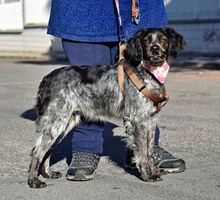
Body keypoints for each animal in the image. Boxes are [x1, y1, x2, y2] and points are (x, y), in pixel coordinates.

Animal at [27, 27, 186, 188]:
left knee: (47, 150)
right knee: (37, 151)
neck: (147, 73)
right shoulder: (139, 121)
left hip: (64, 123)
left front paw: (154, 172)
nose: (154, 49)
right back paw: (34, 181)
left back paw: (48, 173)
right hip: (56, 122)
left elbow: (150, 151)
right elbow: (142, 153)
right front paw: (147, 175)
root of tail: (47, 78)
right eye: (146, 40)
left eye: (163, 39)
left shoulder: (151, 122)